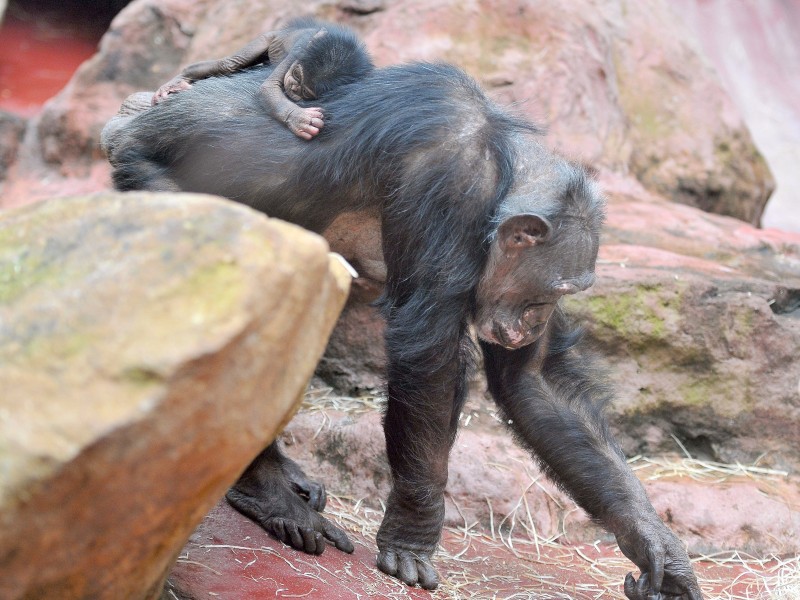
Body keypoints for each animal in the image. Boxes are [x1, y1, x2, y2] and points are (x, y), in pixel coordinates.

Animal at [104, 57, 700, 600]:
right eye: (553, 290)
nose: (537, 320)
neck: (500, 168)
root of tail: (130, 120)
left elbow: (535, 385)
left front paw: (657, 547)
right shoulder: (448, 185)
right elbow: (427, 351)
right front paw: (412, 534)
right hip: (159, 190)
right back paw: (270, 492)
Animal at [152, 17, 374, 139]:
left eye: (305, 90)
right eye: (296, 74)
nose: (294, 86)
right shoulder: (299, 50)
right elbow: (269, 87)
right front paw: (300, 119)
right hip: (266, 38)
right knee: (230, 63)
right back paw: (178, 80)